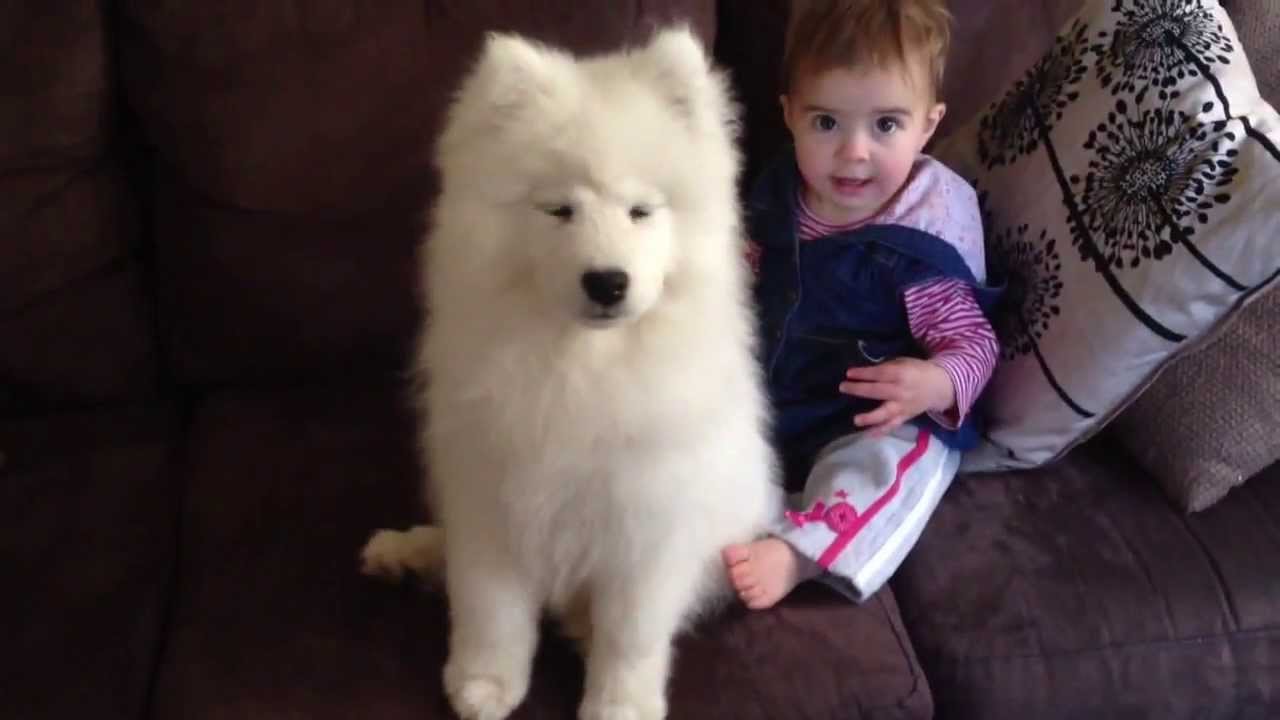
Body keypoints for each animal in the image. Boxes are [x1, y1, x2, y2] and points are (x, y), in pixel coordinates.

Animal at [360, 25, 778, 712]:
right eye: (559, 210)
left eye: (641, 211)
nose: (607, 281)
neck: (579, 365)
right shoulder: (493, 497)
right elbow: (490, 612)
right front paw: (484, 684)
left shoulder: (648, 521)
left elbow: (631, 633)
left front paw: (619, 705)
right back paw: (407, 552)